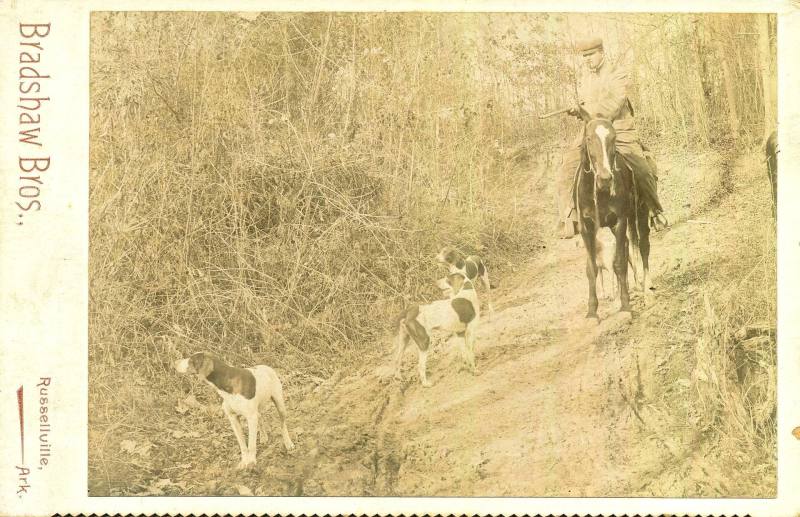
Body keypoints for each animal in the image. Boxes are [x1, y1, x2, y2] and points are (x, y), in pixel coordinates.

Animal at [568, 111, 648, 316]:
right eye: (589, 138)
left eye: (614, 138)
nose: (605, 178)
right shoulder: (587, 228)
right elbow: (592, 269)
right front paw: (592, 312)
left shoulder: (619, 221)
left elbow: (619, 263)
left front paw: (625, 306)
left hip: (636, 218)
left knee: (639, 248)